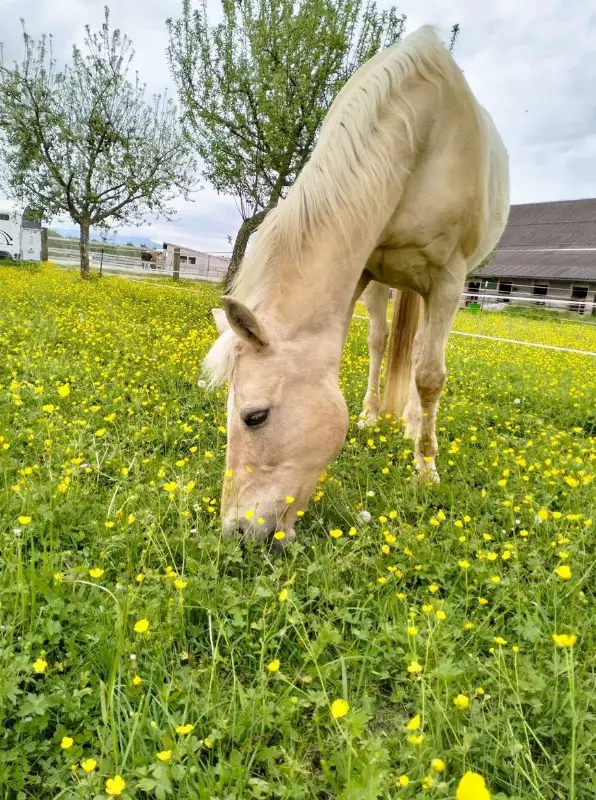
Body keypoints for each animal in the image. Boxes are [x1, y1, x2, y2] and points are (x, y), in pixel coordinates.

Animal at [204, 25, 510, 545]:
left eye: (255, 416)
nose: (235, 531)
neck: (423, 131)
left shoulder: (449, 279)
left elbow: (431, 377)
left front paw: (426, 471)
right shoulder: (363, 269)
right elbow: (376, 347)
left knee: (422, 361)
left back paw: (413, 428)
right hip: (386, 284)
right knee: (382, 341)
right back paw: (374, 416)